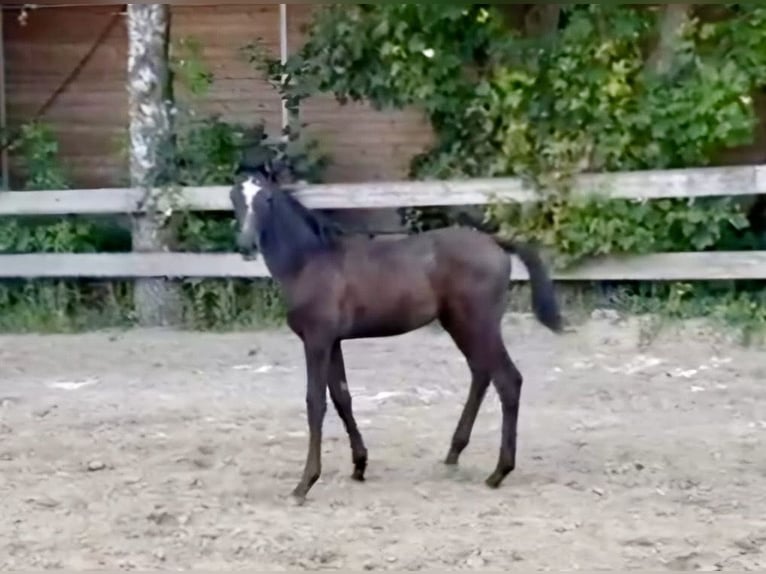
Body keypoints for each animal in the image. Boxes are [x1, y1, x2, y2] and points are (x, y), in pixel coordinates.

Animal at [228, 165, 564, 504]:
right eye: (234, 198)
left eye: (267, 199)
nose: (245, 244)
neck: (310, 262)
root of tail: (494, 242)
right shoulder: (333, 342)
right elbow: (342, 397)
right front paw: (359, 465)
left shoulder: (317, 340)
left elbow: (316, 403)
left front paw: (304, 484)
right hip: (460, 324)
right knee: (482, 374)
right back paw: (454, 454)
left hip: (477, 324)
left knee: (508, 381)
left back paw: (498, 472)